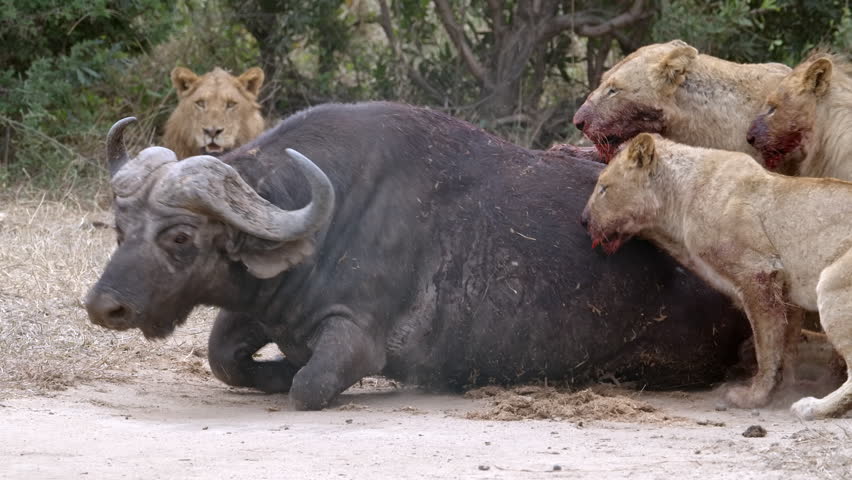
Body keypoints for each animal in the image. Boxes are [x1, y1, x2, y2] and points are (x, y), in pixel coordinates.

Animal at [85, 102, 748, 410]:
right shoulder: (263, 306)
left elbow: (310, 384)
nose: (103, 306)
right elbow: (224, 356)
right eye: (122, 227)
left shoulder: (357, 339)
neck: (331, 216)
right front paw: (270, 370)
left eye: (179, 237)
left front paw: (289, 376)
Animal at [581, 133, 852, 420]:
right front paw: (784, 389)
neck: (677, 203)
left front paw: (754, 397)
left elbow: (766, 346)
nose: (583, 221)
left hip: (833, 282)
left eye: (603, 188)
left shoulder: (758, 272)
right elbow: (786, 349)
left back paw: (811, 407)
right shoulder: (787, 292)